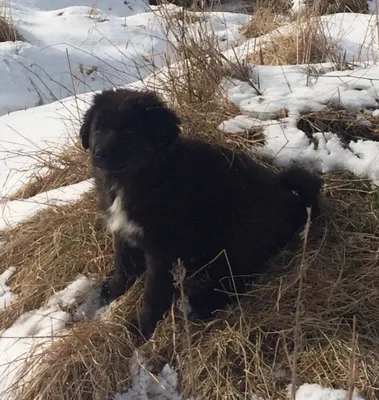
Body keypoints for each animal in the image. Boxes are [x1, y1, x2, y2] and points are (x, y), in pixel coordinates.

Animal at [80, 87, 324, 338]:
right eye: (98, 128)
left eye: (129, 130)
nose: (99, 153)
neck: (136, 178)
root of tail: (292, 205)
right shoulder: (123, 231)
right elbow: (123, 264)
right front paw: (110, 293)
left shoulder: (163, 248)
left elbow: (153, 291)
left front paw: (142, 329)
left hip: (238, 236)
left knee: (236, 280)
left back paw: (202, 303)